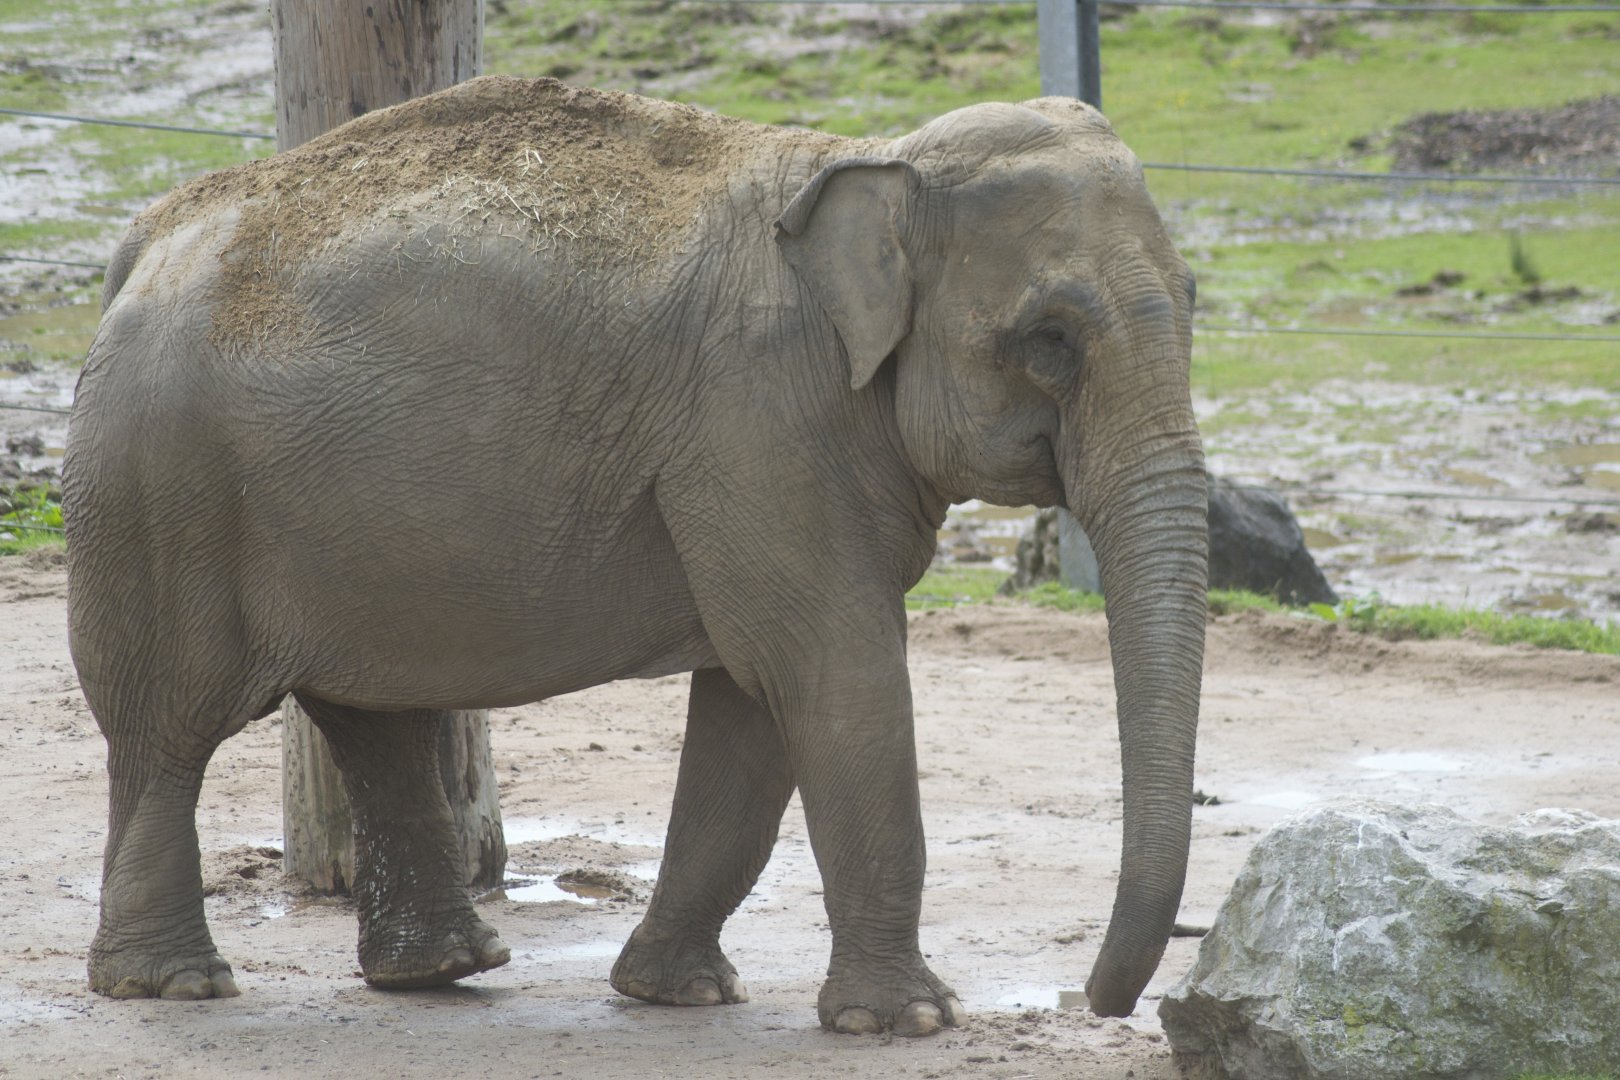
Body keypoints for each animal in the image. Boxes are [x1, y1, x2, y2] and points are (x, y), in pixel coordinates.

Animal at [63, 75, 1206, 1036]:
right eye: (1050, 340)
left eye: (1193, 300)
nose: (1099, 1004)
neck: (870, 156)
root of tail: (142, 246)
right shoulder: (763, 422)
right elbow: (836, 677)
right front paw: (911, 1022)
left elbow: (756, 708)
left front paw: (677, 994)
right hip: (163, 490)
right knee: (171, 724)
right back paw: (173, 985)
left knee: (366, 717)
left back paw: (440, 972)